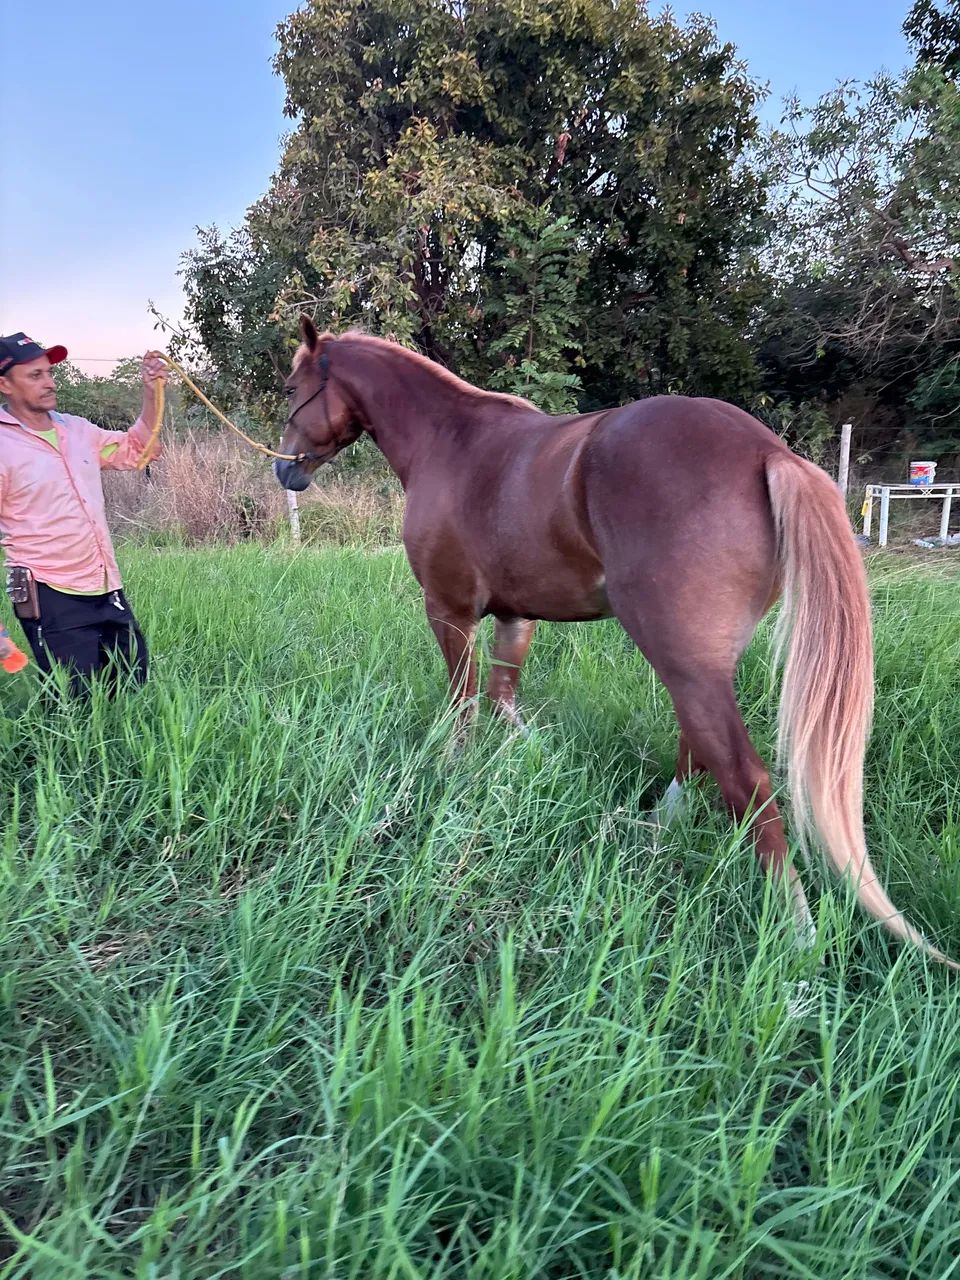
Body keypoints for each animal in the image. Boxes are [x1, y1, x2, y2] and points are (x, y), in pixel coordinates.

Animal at [274, 315, 956, 970]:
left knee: (746, 779)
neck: (452, 442)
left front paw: (454, 773)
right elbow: (503, 699)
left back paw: (795, 934)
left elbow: (463, 706)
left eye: (290, 387)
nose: (284, 468)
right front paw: (533, 765)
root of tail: (766, 450)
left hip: (682, 659)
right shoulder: (515, 618)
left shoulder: (450, 612)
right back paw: (655, 827)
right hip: (699, 663)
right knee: (697, 748)